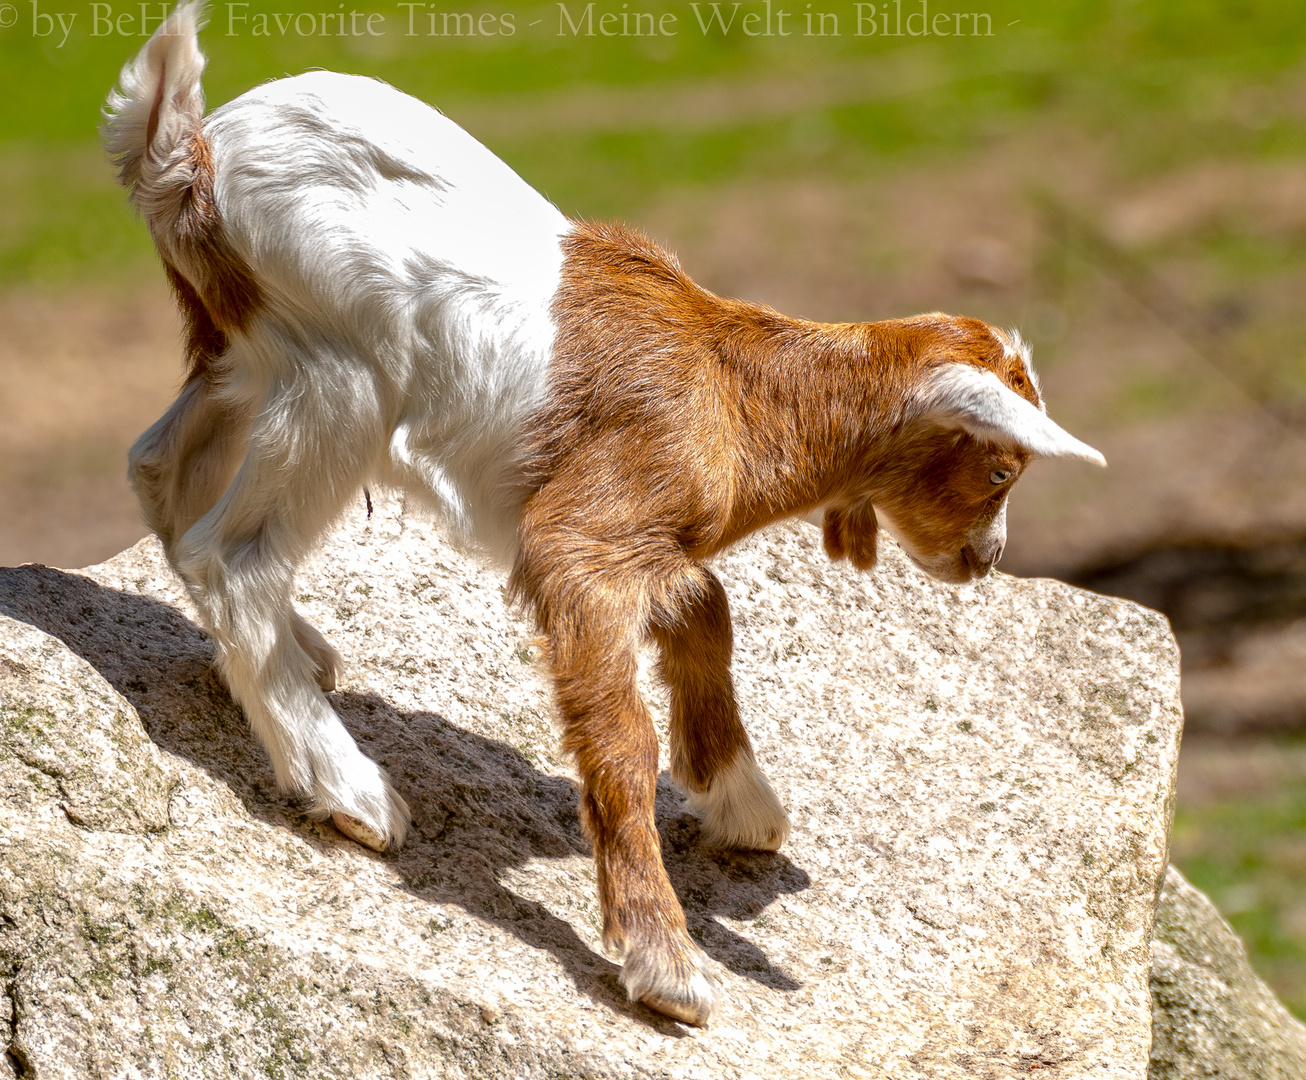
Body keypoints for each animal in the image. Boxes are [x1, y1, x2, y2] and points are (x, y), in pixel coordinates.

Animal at [104, 2, 1102, 1029]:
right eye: (1001, 466)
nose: (987, 559)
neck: (734, 389)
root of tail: (190, 156)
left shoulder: (651, 544)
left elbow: (707, 609)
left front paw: (740, 800)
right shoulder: (579, 544)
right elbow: (623, 733)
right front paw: (666, 963)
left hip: (243, 355)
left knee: (161, 469)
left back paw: (291, 656)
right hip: (338, 372)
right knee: (236, 555)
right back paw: (350, 789)